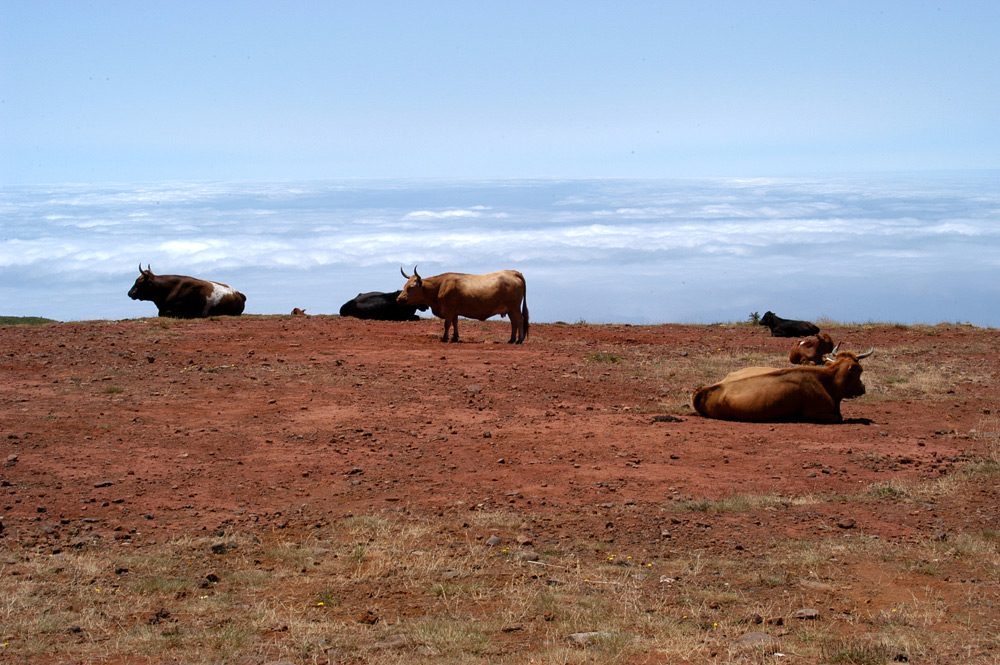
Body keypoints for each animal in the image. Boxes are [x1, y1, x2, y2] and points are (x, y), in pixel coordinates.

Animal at [396, 264, 528, 342]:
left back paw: (519, 340)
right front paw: (454, 337)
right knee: (514, 322)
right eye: (405, 285)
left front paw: (445, 338)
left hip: (514, 307)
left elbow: (447, 324)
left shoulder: (449, 310)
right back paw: (511, 340)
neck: (440, 286)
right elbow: (455, 323)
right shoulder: (454, 311)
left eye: (411, 287)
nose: (398, 299)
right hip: (510, 309)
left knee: (519, 320)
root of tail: (513, 272)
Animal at [692, 344, 872, 422]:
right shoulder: (814, 413)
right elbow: (838, 417)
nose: (862, 388)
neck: (826, 380)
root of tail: (704, 389)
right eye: (860, 370)